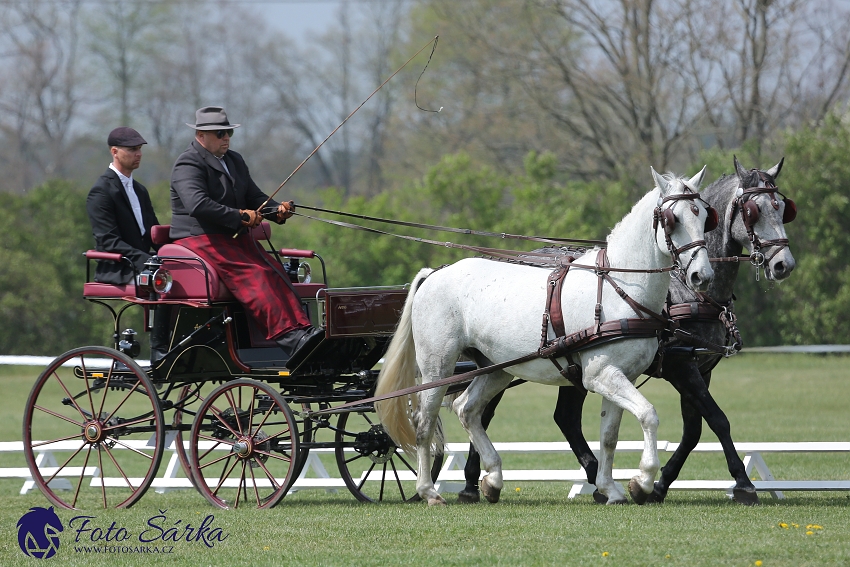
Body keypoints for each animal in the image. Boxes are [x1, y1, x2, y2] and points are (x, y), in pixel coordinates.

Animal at [374, 169, 712, 506]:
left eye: (706, 216)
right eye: (673, 219)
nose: (702, 276)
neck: (619, 285)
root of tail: (434, 273)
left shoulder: (621, 376)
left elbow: (609, 436)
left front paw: (610, 488)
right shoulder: (600, 374)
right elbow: (648, 415)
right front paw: (642, 481)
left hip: (498, 368)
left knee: (466, 409)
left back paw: (493, 479)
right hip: (438, 367)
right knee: (424, 423)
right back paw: (428, 491)